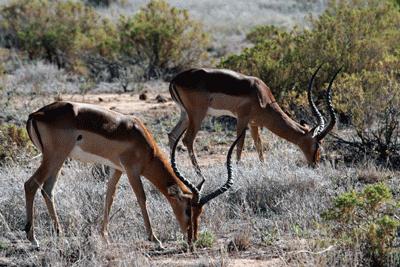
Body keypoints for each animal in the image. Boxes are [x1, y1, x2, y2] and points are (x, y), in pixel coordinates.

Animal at [24, 101, 241, 250]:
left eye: (200, 212)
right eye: (187, 209)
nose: (192, 239)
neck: (142, 141)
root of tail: (35, 114)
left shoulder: (117, 169)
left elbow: (109, 197)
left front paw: (104, 237)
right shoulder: (132, 170)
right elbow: (142, 199)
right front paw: (156, 240)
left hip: (58, 160)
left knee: (47, 190)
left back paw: (59, 235)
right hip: (55, 157)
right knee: (30, 184)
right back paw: (33, 239)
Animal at [169, 66, 340, 175]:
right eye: (317, 144)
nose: (315, 164)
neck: (261, 96)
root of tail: (175, 80)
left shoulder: (253, 123)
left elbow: (259, 145)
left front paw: (263, 168)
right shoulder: (242, 119)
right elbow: (240, 144)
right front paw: (237, 169)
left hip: (185, 115)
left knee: (172, 135)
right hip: (198, 115)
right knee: (187, 139)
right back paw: (199, 174)